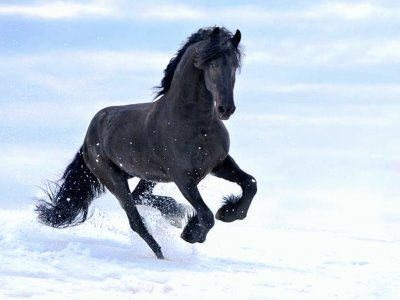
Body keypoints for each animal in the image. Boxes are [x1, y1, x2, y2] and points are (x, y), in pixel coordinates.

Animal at [36, 27, 258, 258]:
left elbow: (250, 184)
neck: (197, 124)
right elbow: (206, 215)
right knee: (135, 219)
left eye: (234, 65)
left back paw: (175, 214)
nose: (226, 109)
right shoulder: (183, 178)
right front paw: (191, 233)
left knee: (139, 196)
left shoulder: (218, 164)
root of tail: (88, 137)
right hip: (114, 179)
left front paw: (228, 212)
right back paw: (162, 253)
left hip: (148, 175)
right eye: (212, 64)